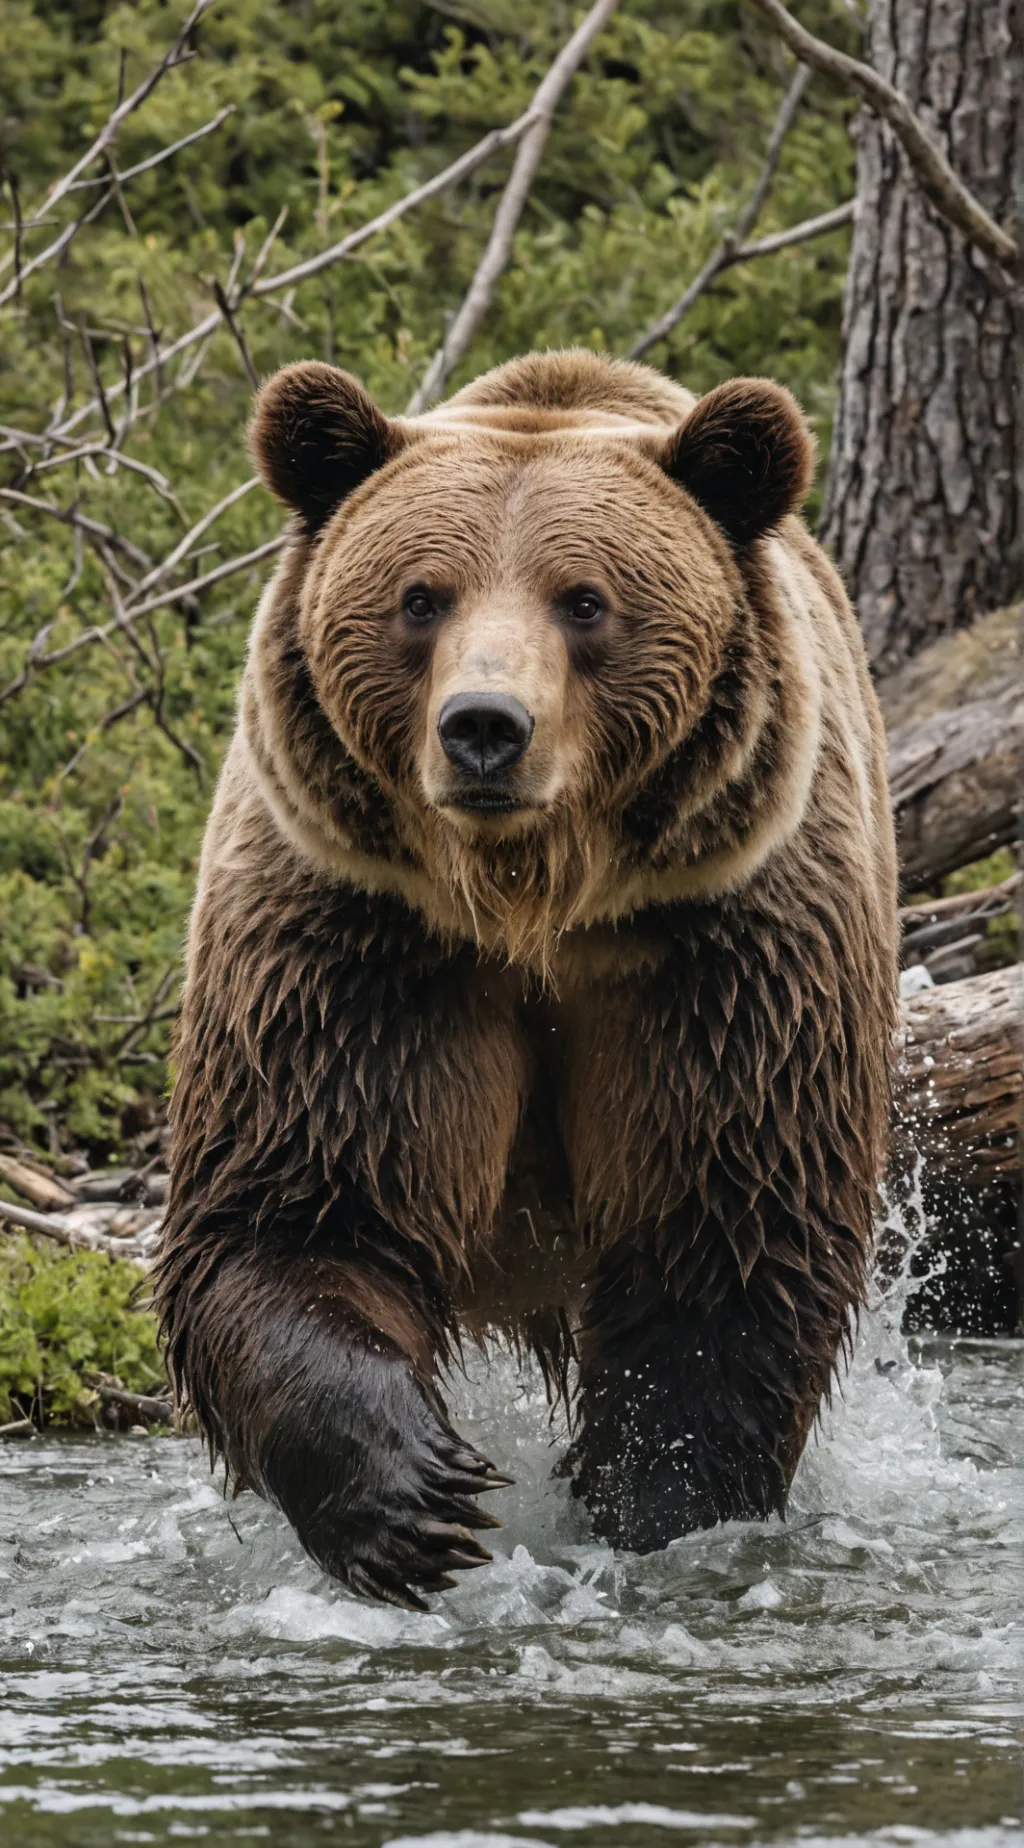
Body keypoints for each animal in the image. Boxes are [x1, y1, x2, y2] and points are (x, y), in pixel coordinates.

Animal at [155, 349, 898, 1609]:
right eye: (421, 597)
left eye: (584, 599)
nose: (484, 729)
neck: (530, 902)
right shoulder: (360, 944)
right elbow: (299, 1204)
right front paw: (413, 1496)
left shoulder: (715, 956)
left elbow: (723, 1235)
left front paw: (655, 1510)